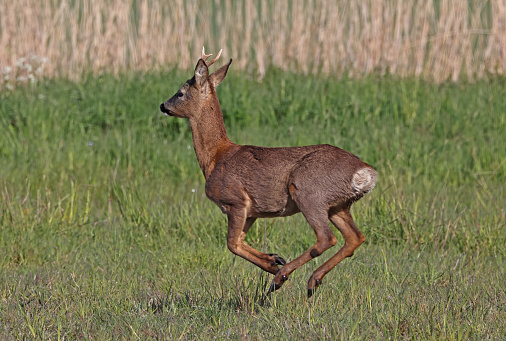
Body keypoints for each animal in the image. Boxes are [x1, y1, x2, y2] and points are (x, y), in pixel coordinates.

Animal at [160, 46, 378, 296]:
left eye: (180, 93)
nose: (163, 106)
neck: (215, 157)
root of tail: (365, 171)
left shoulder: (235, 201)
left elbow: (232, 244)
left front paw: (274, 266)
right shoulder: (252, 212)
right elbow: (240, 242)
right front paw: (273, 258)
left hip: (309, 193)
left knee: (326, 238)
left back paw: (282, 278)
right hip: (338, 205)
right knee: (355, 237)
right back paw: (311, 279)